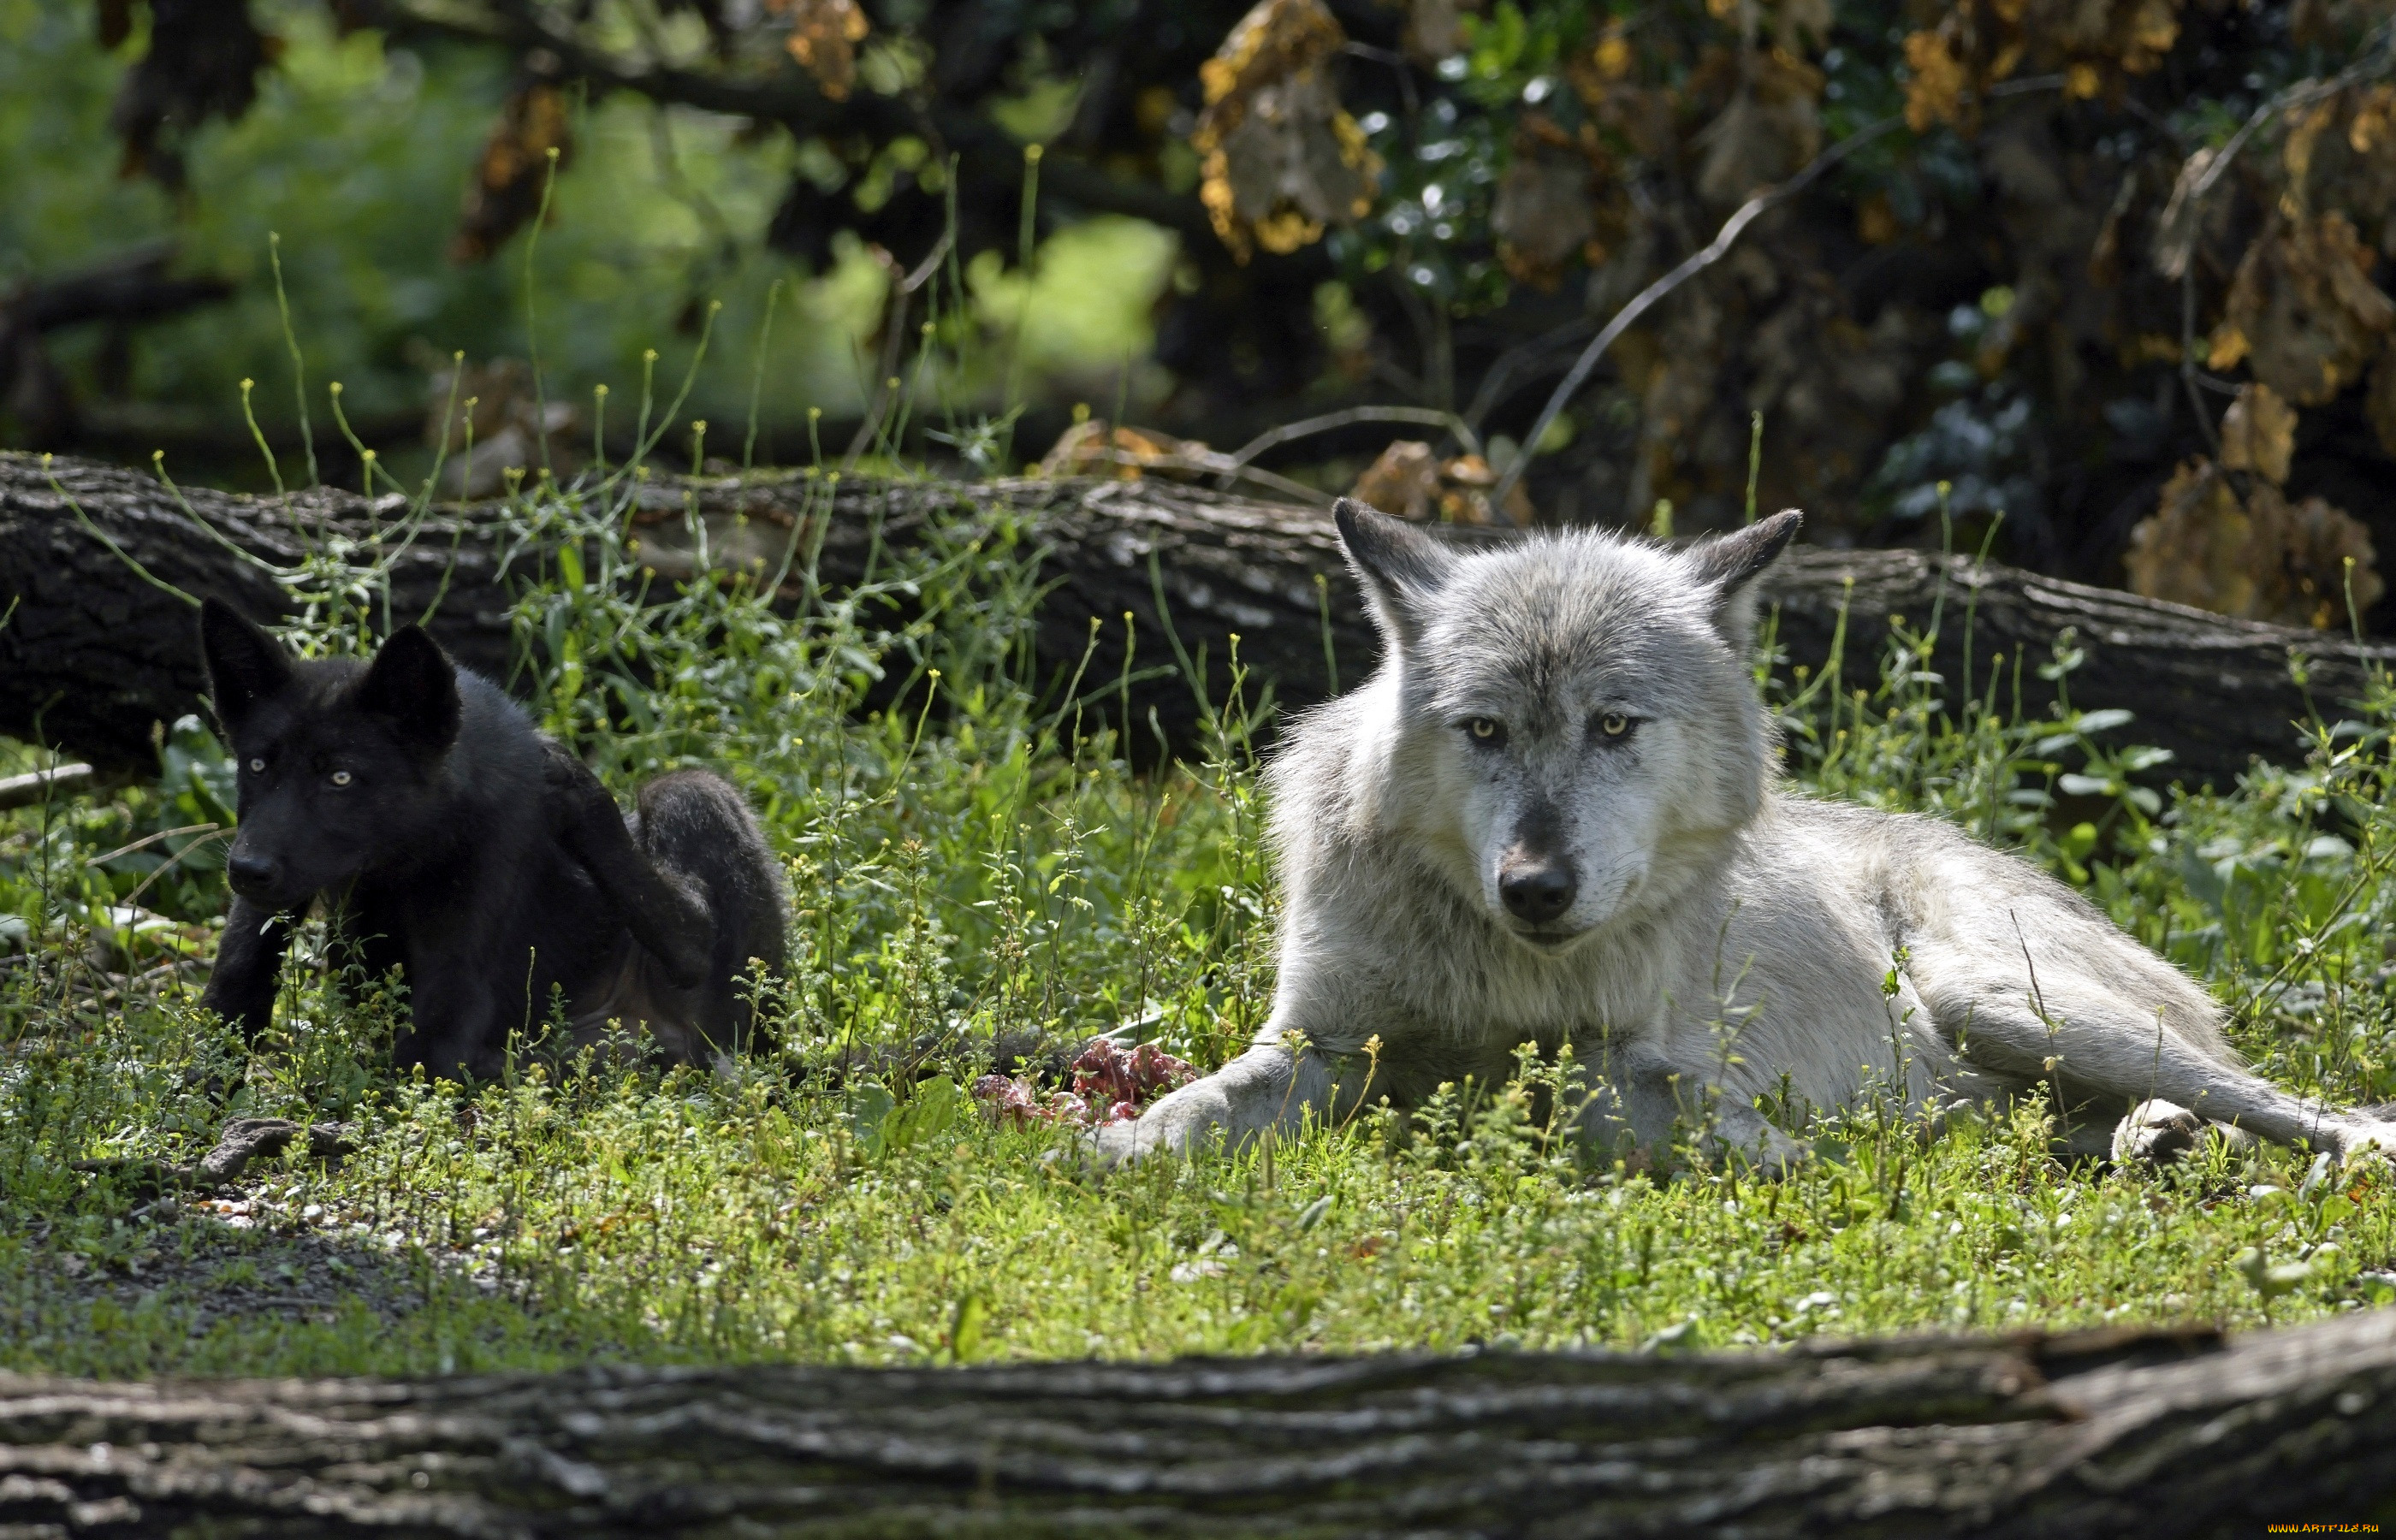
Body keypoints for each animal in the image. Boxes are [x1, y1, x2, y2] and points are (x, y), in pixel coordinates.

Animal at [199, 596, 786, 1077]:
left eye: (340, 778)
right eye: (256, 766)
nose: (246, 870)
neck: (403, 858)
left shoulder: (459, 975)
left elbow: (426, 1059)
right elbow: (232, 989)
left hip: (689, 792)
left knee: (694, 942)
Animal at [1097, 505, 2396, 1169]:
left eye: (1613, 725)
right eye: (1486, 730)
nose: (1535, 887)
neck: (1507, 974)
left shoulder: (1631, 1061)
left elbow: (1616, 1099)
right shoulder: (1317, 1045)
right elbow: (1180, 1116)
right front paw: (1109, 1153)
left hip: (1999, 1000)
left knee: (2311, 1107)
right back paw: (2145, 1143)